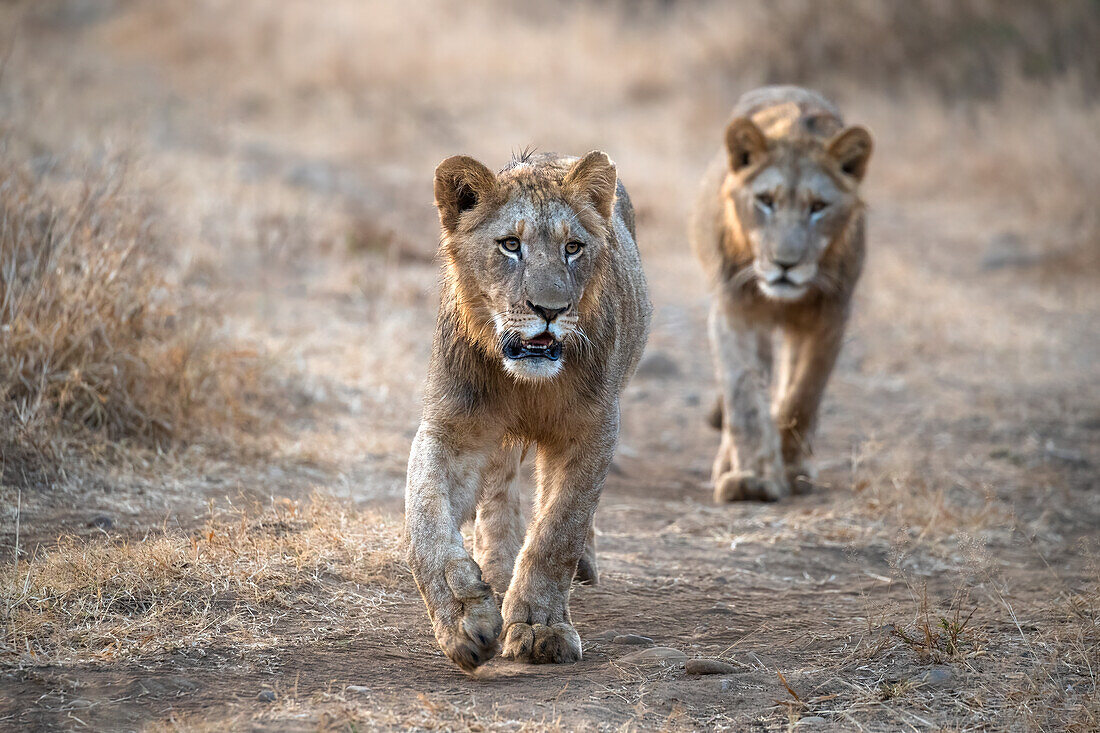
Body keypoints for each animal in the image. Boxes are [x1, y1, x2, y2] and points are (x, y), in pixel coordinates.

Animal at [407, 148, 646, 669]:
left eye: (573, 247)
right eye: (510, 245)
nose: (550, 310)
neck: (527, 384)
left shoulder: (593, 429)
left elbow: (560, 529)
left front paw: (540, 627)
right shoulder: (455, 428)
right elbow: (423, 521)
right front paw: (463, 619)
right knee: (498, 489)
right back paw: (496, 569)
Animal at [686, 86, 875, 501]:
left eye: (818, 207)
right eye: (766, 201)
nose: (784, 264)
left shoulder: (829, 317)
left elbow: (802, 397)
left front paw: (789, 467)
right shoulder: (735, 310)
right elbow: (743, 394)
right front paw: (753, 479)